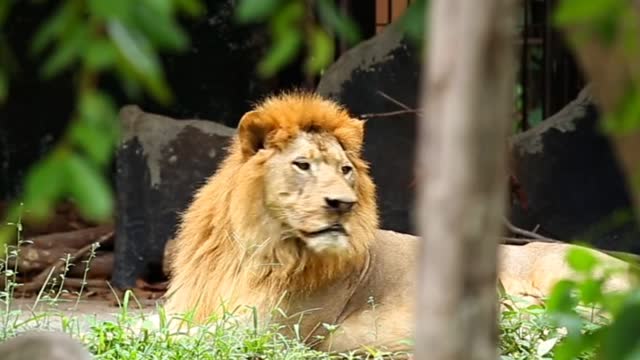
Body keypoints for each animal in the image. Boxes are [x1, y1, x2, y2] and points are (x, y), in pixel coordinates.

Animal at [162, 91, 632, 356]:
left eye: (345, 170)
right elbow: (161, 325)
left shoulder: (271, 329)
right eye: (302, 165)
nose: (342, 204)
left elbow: (184, 336)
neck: (254, 249)